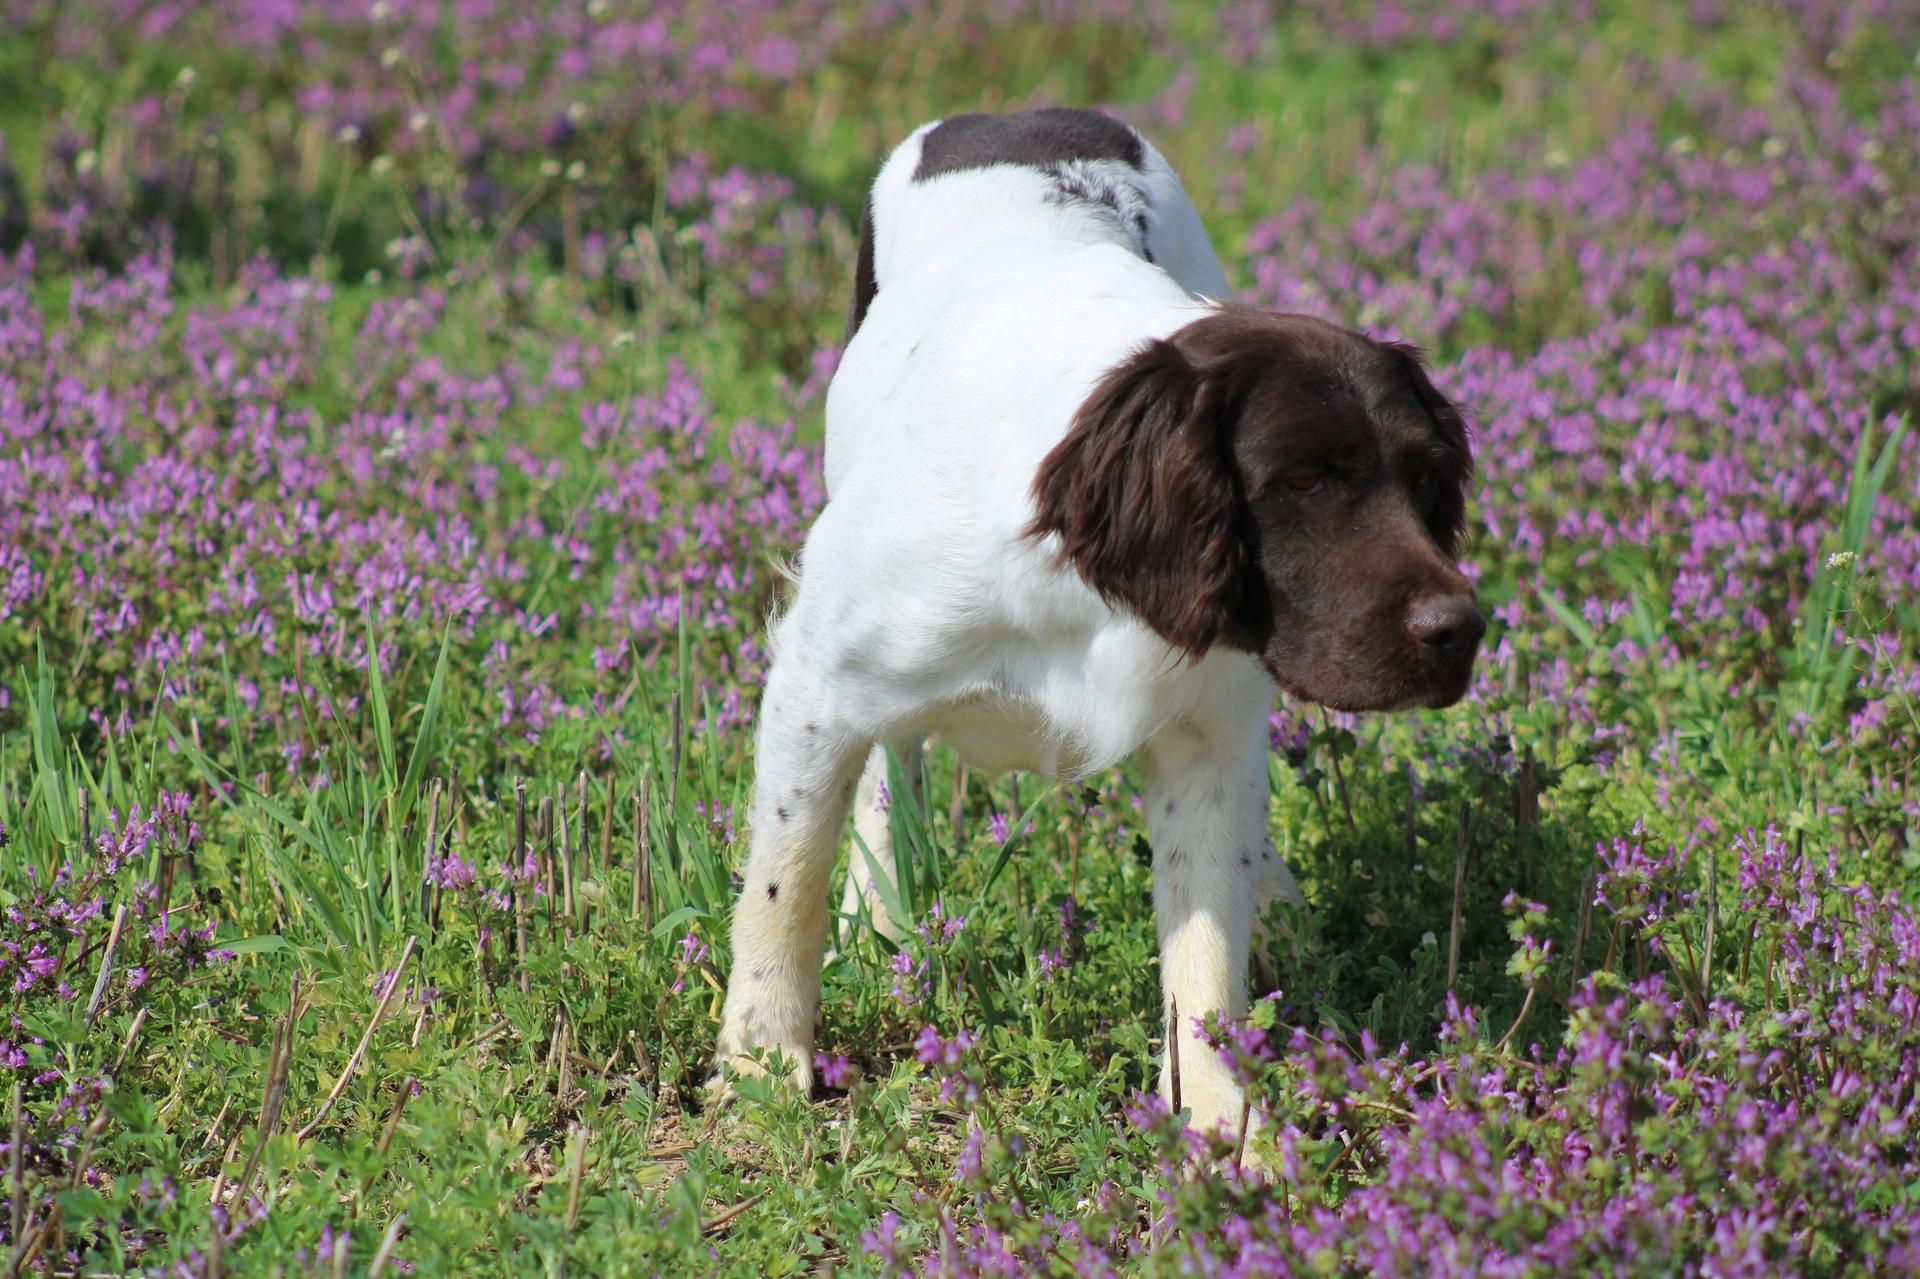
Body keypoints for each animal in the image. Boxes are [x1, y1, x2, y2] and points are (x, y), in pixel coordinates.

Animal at [714, 109, 1474, 1136]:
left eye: (1427, 478)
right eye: (1306, 479)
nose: (1462, 629)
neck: (1069, 570)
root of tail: (1008, 114)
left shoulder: (1207, 727)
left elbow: (1206, 949)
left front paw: (1220, 1122)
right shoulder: (816, 677)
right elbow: (784, 876)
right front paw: (759, 1060)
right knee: (885, 769)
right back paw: (881, 919)